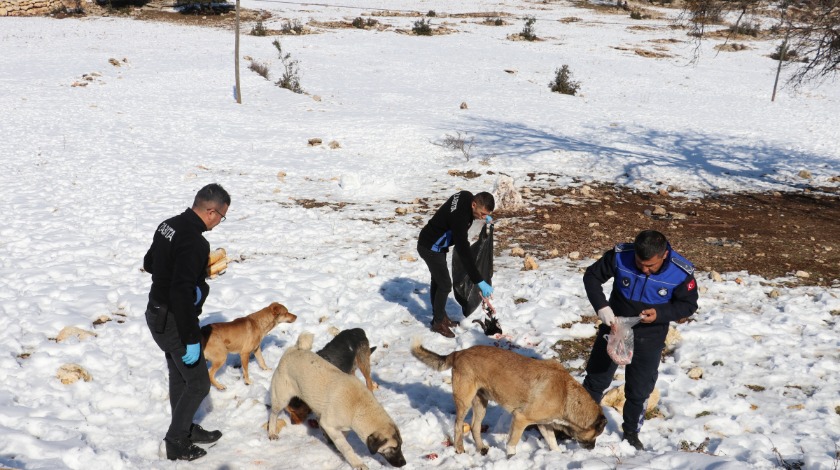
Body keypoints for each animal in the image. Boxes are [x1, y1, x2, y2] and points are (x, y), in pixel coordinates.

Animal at [266, 332, 404, 468]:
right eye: (393, 448)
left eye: (401, 445)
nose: (404, 463)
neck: (359, 406)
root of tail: (293, 349)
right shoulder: (329, 424)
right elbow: (346, 447)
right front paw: (357, 463)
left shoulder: (341, 427)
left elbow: (342, 440)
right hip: (281, 398)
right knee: (273, 414)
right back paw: (272, 432)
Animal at [412, 340, 604, 458]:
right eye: (596, 435)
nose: (593, 448)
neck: (566, 395)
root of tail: (459, 352)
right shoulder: (520, 418)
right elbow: (513, 442)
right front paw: (511, 458)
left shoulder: (544, 423)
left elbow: (552, 441)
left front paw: (557, 455)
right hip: (464, 401)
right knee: (459, 426)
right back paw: (460, 449)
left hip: (481, 403)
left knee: (475, 427)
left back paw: (481, 448)